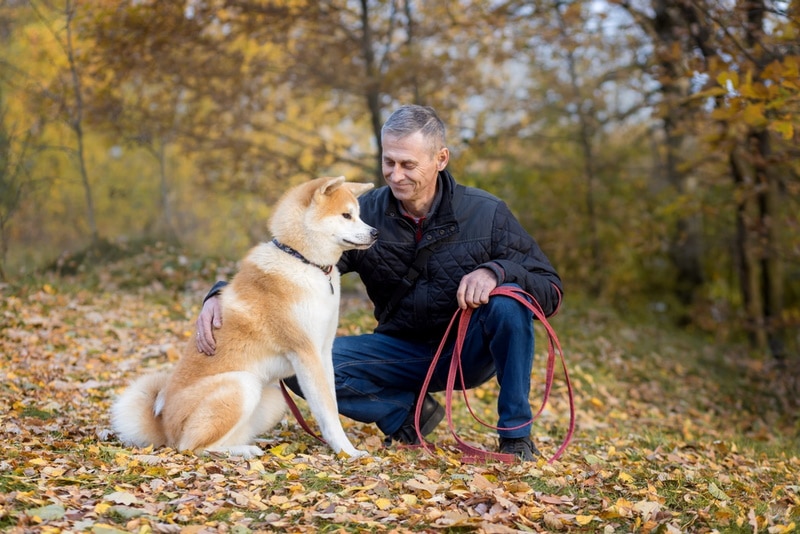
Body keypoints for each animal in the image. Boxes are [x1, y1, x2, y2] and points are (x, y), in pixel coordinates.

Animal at [108, 177, 378, 460]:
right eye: (346, 215)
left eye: (359, 214)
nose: (375, 233)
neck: (302, 261)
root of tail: (163, 429)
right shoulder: (306, 353)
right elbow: (327, 412)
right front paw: (348, 451)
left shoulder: (323, 352)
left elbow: (331, 404)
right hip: (241, 384)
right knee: (191, 446)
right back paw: (244, 450)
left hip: (272, 397)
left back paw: (252, 444)